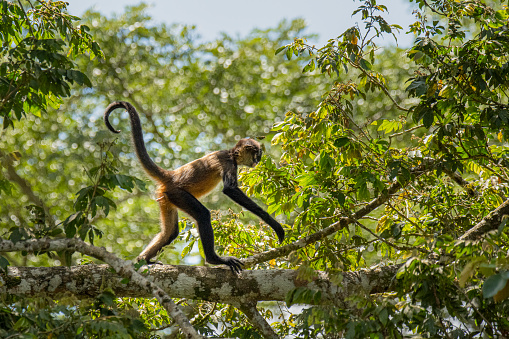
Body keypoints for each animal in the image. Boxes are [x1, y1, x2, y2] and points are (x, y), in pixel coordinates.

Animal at [104, 101, 284, 274]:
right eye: (257, 154)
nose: (258, 161)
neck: (231, 154)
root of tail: (171, 175)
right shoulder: (227, 162)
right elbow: (229, 190)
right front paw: (274, 224)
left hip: (166, 197)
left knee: (170, 232)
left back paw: (143, 260)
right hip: (178, 194)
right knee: (203, 215)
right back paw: (214, 259)